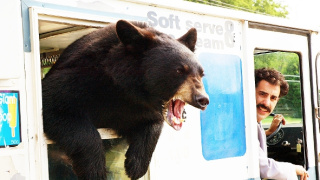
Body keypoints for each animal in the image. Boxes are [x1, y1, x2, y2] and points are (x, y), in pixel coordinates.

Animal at [41, 20, 209, 180]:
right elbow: (56, 107)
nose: (202, 99)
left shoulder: (137, 108)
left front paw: (135, 165)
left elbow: (152, 123)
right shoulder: (81, 78)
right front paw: (95, 170)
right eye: (179, 70)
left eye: (202, 73)